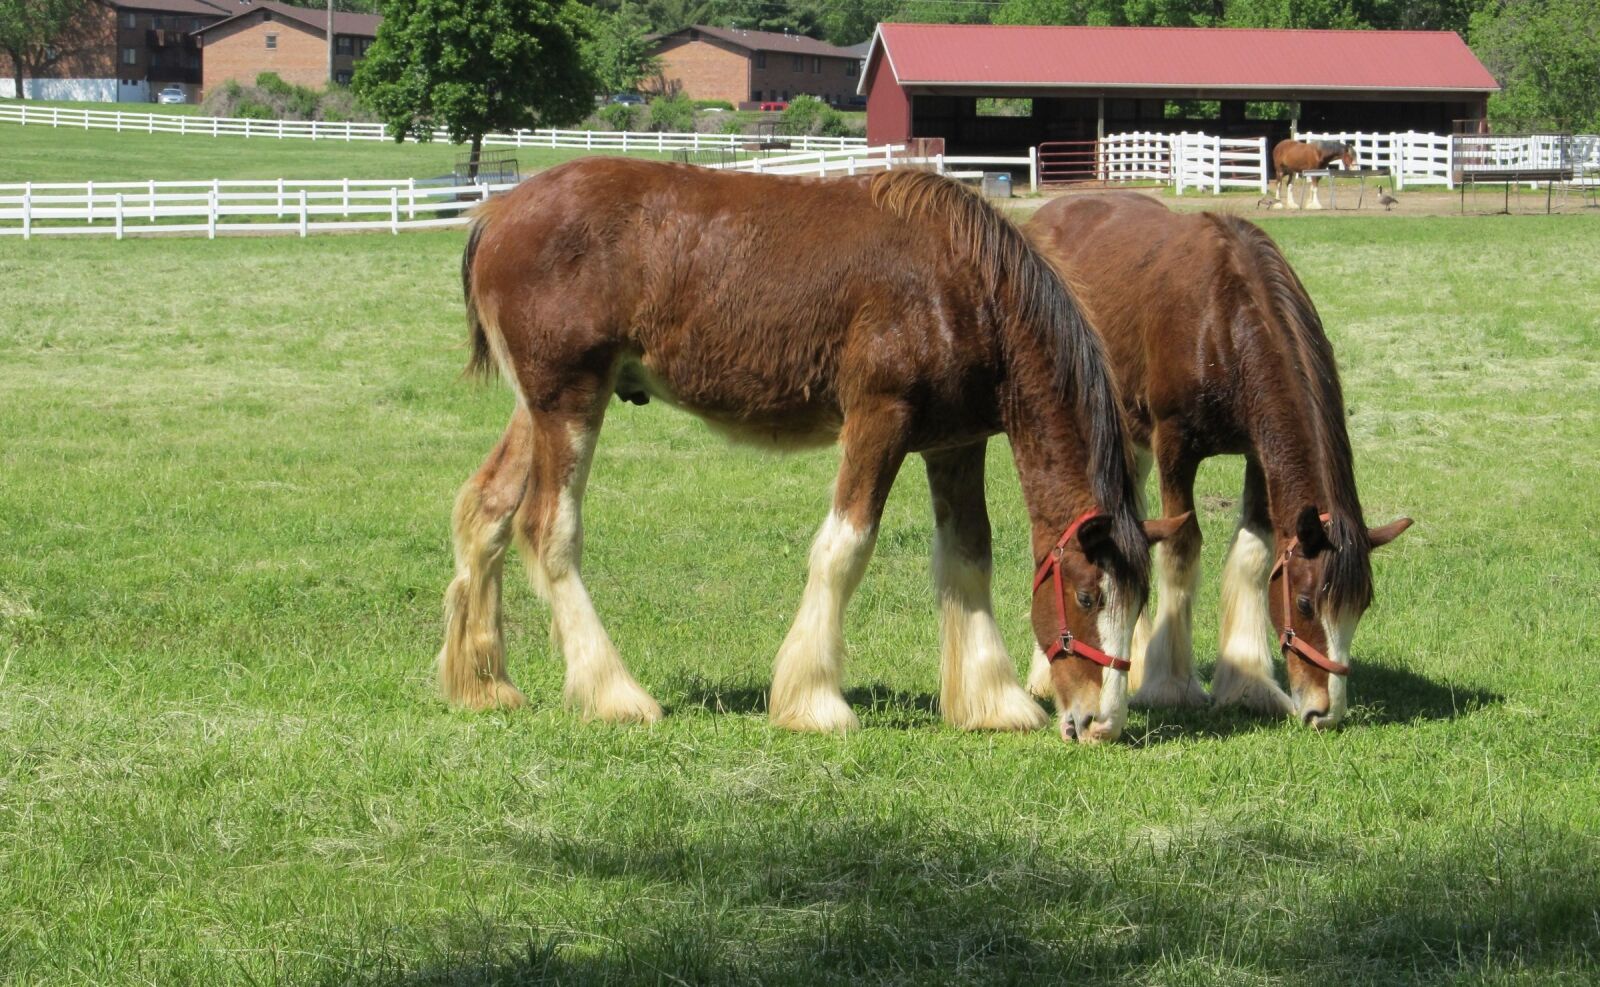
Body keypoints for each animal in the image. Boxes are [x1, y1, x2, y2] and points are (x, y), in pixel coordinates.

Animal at [438, 158, 1187, 742]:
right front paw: (814, 701)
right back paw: (614, 693)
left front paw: (992, 701)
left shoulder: (955, 443)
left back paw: (485, 684)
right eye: (1088, 594)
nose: (1100, 722)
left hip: (539, 410)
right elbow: (845, 547)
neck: (959, 285)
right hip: (570, 403)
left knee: (487, 510)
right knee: (547, 529)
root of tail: (499, 212)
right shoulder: (879, 420)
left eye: (1139, 602)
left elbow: (969, 555)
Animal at [1026, 193, 1410, 729]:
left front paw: (1248, 683)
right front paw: (1171, 684)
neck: (1223, 323)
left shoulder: (1258, 452)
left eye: (1361, 606)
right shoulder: (1175, 446)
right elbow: (1180, 552)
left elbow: (1252, 555)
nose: (1324, 712)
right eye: (1306, 604)